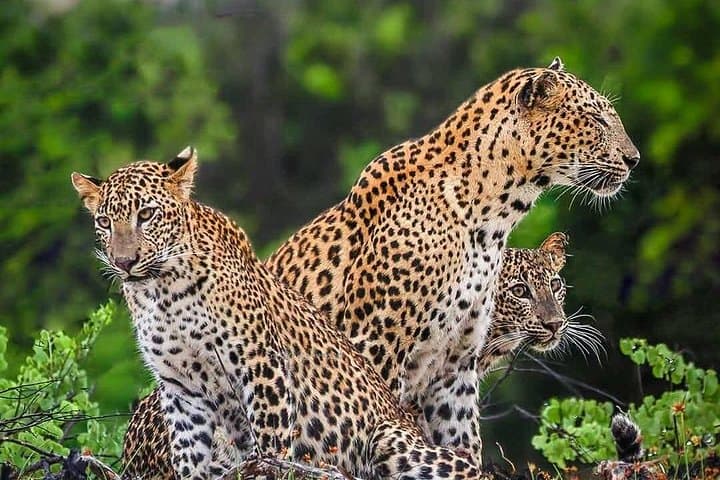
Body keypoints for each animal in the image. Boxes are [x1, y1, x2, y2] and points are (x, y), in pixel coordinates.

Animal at [72, 148, 484, 480]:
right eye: (105, 222)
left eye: (146, 214)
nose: (124, 262)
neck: (162, 294)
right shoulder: (180, 388)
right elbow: (189, 455)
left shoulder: (259, 364)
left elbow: (270, 444)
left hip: (388, 440)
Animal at [118, 56, 640, 472]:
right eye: (596, 119)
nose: (634, 159)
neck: (494, 215)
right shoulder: (375, 343)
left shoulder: (455, 366)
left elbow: (461, 443)